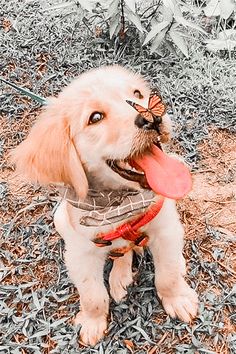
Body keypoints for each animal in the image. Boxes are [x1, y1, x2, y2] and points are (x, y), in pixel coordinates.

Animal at [12, 65, 198, 346]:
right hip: (60, 219)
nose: (152, 118)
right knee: (121, 253)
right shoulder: (79, 254)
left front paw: (178, 299)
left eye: (137, 94)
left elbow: (167, 275)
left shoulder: (166, 228)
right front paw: (92, 322)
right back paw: (120, 276)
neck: (119, 204)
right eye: (95, 117)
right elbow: (92, 295)